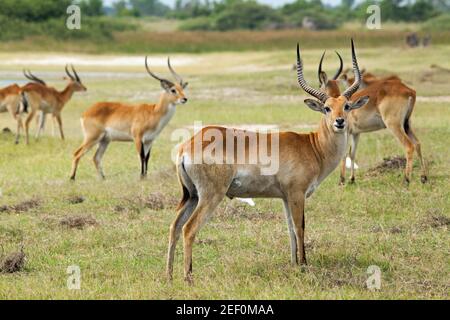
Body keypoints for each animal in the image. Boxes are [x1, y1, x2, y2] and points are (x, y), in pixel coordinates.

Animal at [166, 40, 370, 282]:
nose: (339, 122)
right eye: (327, 108)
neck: (313, 146)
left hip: (191, 195)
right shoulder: (297, 193)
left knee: (174, 226)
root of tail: (187, 146)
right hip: (210, 195)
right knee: (189, 229)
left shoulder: (285, 197)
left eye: (346, 106)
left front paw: (294, 264)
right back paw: (188, 278)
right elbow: (300, 227)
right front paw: (304, 265)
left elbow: (290, 229)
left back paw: (168, 276)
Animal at [318, 52, 428, 184]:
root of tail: (409, 91)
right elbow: (352, 153)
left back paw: (406, 179)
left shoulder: (346, 131)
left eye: (319, 85)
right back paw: (423, 177)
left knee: (409, 146)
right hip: (407, 124)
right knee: (417, 143)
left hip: (394, 125)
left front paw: (342, 180)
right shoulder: (356, 133)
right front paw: (352, 179)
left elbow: (344, 154)